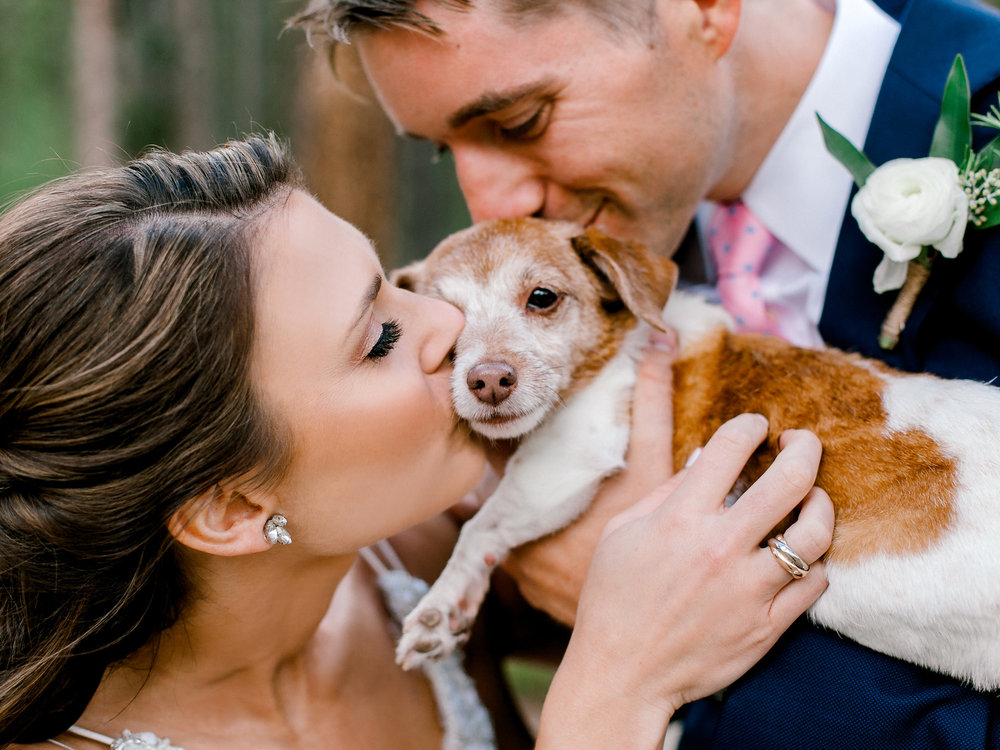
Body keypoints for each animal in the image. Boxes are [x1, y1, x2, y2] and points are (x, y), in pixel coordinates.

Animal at [388, 216, 1000, 688]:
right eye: (445, 323)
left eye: (542, 298)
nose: (488, 381)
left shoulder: (566, 460)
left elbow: (481, 528)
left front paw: (439, 603)